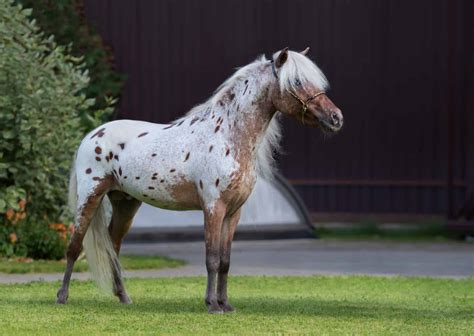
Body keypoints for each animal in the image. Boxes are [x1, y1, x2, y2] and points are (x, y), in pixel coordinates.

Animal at [57, 46, 342, 312]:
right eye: (297, 82)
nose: (336, 118)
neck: (227, 135)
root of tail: (92, 135)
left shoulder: (233, 213)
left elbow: (225, 261)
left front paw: (226, 304)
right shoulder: (214, 208)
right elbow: (212, 258)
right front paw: (212, 305)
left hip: (125, 203)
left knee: (113, 248)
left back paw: (124, 298)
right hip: (90, 197)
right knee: (74, 245)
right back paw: (62, 297)